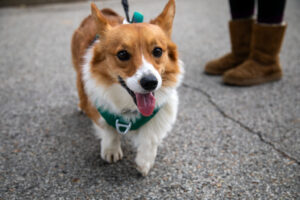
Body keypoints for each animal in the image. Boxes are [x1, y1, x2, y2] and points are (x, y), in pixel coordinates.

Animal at [71, 0, 183, 175]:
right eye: (122, 54)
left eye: (157, 51)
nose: (150, 82)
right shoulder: (99, 106)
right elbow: (108, 130)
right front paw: (111, 151)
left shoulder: (161, 112)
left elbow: (150, 138)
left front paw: (145, 162)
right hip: (79, 72)